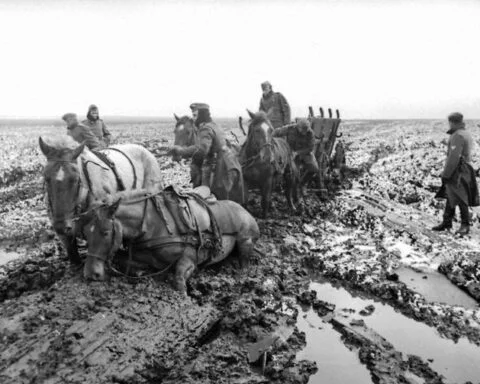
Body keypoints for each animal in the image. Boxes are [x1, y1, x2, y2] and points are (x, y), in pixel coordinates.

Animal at [80, 188, 258, 292]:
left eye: (105, 233)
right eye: (86, 234)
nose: (90, 274)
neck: (152, 224)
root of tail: (243, 209)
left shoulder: (189, 259)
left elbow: (178, 279)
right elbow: (125, 260)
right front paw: (139, 270)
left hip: (245, 240)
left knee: (244, 262)